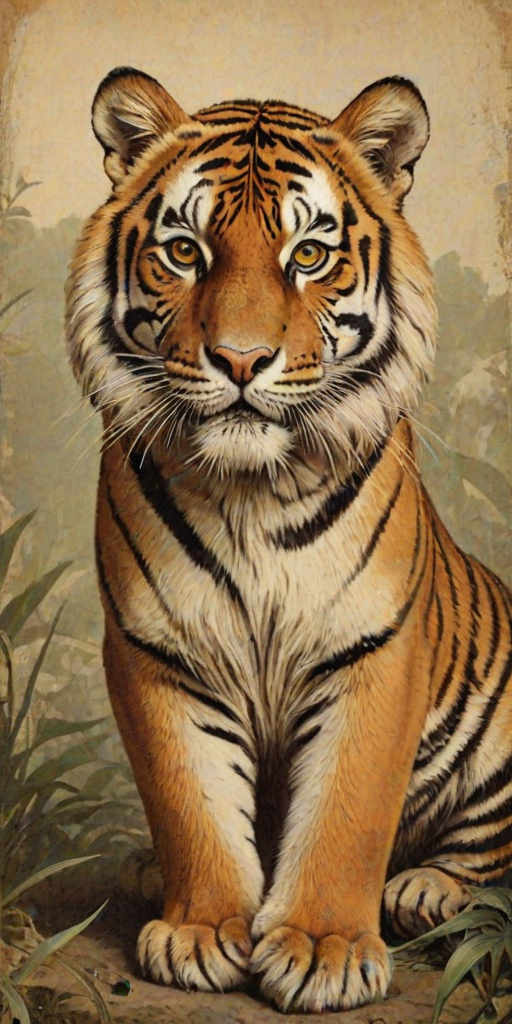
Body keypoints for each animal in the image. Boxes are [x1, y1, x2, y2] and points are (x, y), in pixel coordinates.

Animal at [65, 66, 512, 1014]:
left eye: (308, 255)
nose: (240, 361)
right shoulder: (159, 651)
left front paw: (321, 948)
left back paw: (426, 890)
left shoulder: (375, 650)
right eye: (185, 251)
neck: (250, 492)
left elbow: (350, 808)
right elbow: (189, 801)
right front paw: (201, 930)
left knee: (486, 847)